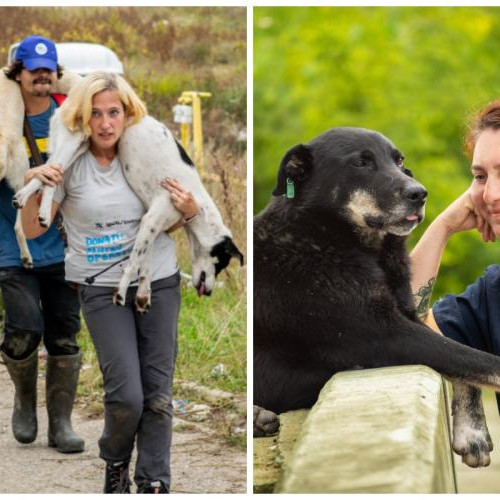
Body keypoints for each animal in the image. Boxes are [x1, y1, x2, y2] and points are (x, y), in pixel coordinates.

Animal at [256, 127, 500, 466]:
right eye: (361, 162)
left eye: (399, 161)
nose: (420, 193)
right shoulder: (386, 333)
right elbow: (477, 359)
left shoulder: (406, 317)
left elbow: (465, 359)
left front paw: (472, 431)